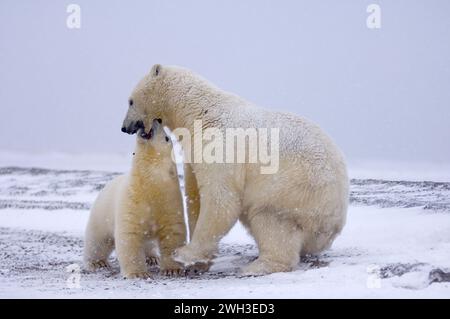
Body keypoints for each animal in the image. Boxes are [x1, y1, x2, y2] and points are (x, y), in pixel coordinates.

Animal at [84, 119, 199, 278]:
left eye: (167, 138)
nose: (157, 120)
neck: (150, 185)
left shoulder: (170, 200)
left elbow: (172, 233)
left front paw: (172, 269)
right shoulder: (131, 201)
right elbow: (129, 234)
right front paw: (138, 273)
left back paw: (152, 258)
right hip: (101, 213)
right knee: (98, 239)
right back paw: (97, 262)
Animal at [121, 64, 350, 276]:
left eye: (130, 101)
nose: (125, 127)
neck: (199, 112)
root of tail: (335, 223)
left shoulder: (220, 145)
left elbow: (221, 199)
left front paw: (184, 254)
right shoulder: (195, 151)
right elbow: (195, 196)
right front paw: (199, 263)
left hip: (296, 190)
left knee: (270, 218)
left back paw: (256, 266)